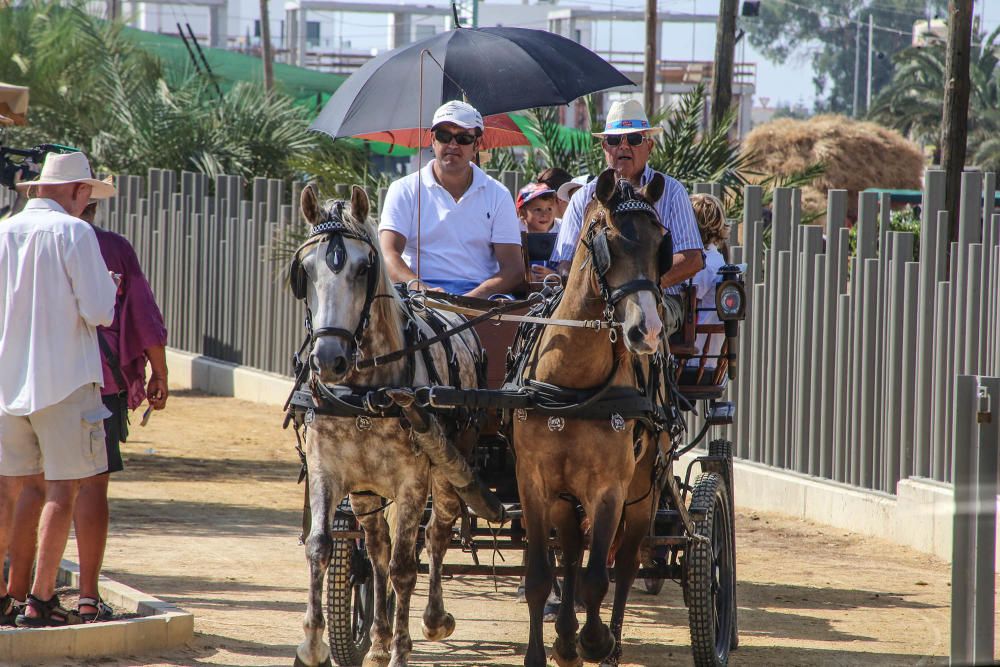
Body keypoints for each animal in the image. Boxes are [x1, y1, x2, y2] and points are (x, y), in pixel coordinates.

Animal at [290, 184, 492, 667]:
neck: (366, 392)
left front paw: (403, 650)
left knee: (436, 534)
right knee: (378, 547)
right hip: (366, 489)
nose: (328, 359)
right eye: (304, 271)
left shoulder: (412, 481)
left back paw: (432, 621)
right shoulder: (328, 469)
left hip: (449, 471)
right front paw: (314, 643)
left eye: (364, 269)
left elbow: (405, 566)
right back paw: (378, 638)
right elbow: (322, 546)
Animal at [512, 170, 668, 664]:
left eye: (662, 244)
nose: (647, 331)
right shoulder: (534, 483)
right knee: (571, 552)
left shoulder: (609, 489)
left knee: (626, 564)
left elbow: (600, 575)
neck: (572, 387)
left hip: (644, 493)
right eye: (610, 243)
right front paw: (545, 650)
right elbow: (541, 575)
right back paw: (565, 637)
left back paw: (607, 641)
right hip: (565, 498)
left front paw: (596, 639)